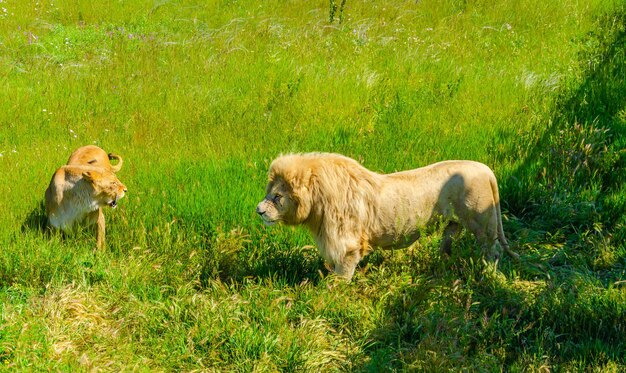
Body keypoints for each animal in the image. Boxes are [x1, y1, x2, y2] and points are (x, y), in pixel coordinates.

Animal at [254, 152, 516, 280]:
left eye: (277, 196)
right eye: (269, 193)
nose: (259, 210)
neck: (317, 201)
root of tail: (486, 169)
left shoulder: (347, 245)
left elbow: (342, 274)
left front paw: (335, 293)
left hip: (483, 224)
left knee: (493, 251)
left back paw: (489, 275)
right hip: (454, 224)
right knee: (448, 244)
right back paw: (443, 264)